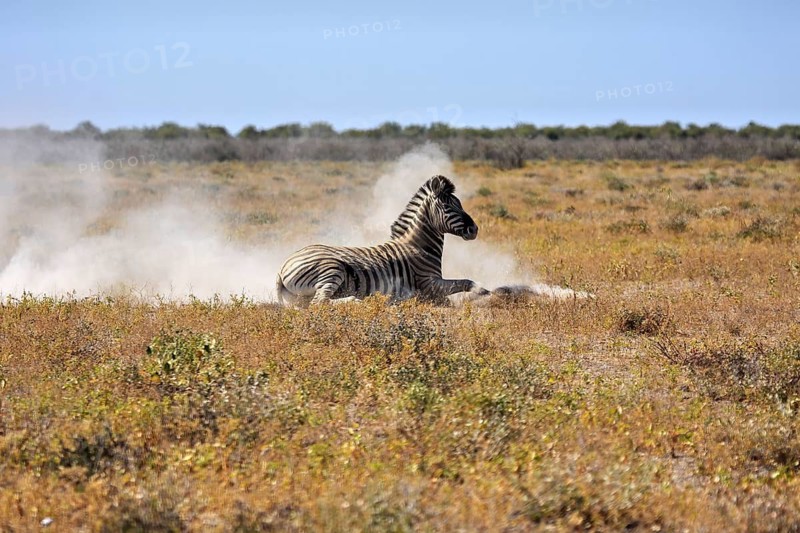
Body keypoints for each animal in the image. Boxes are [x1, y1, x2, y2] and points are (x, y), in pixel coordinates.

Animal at [276, 175, 489, 306]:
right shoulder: (429, 283)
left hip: (301, 297)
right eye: (448, 207)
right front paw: (486, 292)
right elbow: (465, 282)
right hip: (331, 269)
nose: (474, 229)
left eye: (460, 204)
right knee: (319, 302)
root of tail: (283, 266)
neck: (419, 246)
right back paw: (358, 302)